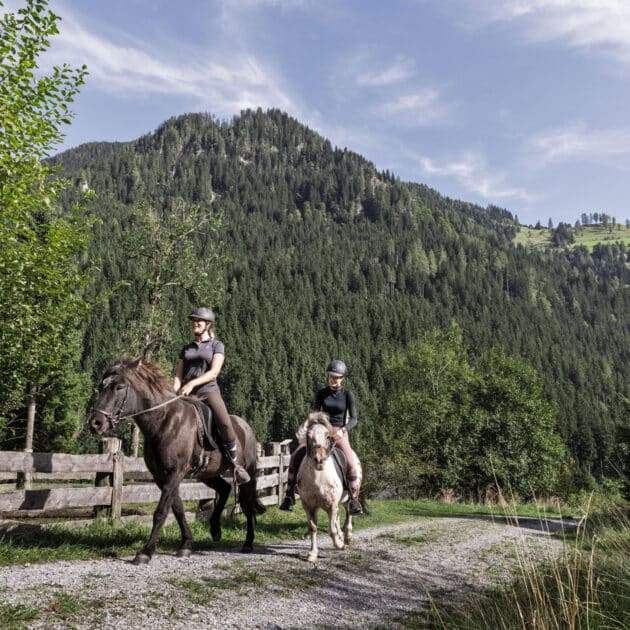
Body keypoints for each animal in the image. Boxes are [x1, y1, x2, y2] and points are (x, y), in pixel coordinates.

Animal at [87, 358, 266, 564]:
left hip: (248, 474)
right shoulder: (161, 476)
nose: (95, 423)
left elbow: (161, 511)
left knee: (247, 505)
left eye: (119, 387)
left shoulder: (175, 472)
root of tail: (246, 428)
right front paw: (186, 545)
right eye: (102, 386)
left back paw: (248, 543)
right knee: (224, 489)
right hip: (208, 474)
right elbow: (178, 509)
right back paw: (215, 529)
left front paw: (146, 552)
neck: (164, 421)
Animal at [296, 414, 366, 564]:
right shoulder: (308, 505)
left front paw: (340, 544)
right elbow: (313, 528)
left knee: (349, 512)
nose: (319, 460)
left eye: (328, 436)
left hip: (351, 494)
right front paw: (313, 553)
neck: (318, 478)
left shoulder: (332, 505)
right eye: (309, 435)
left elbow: (331, 530)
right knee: (339, 517)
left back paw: (347, 537)